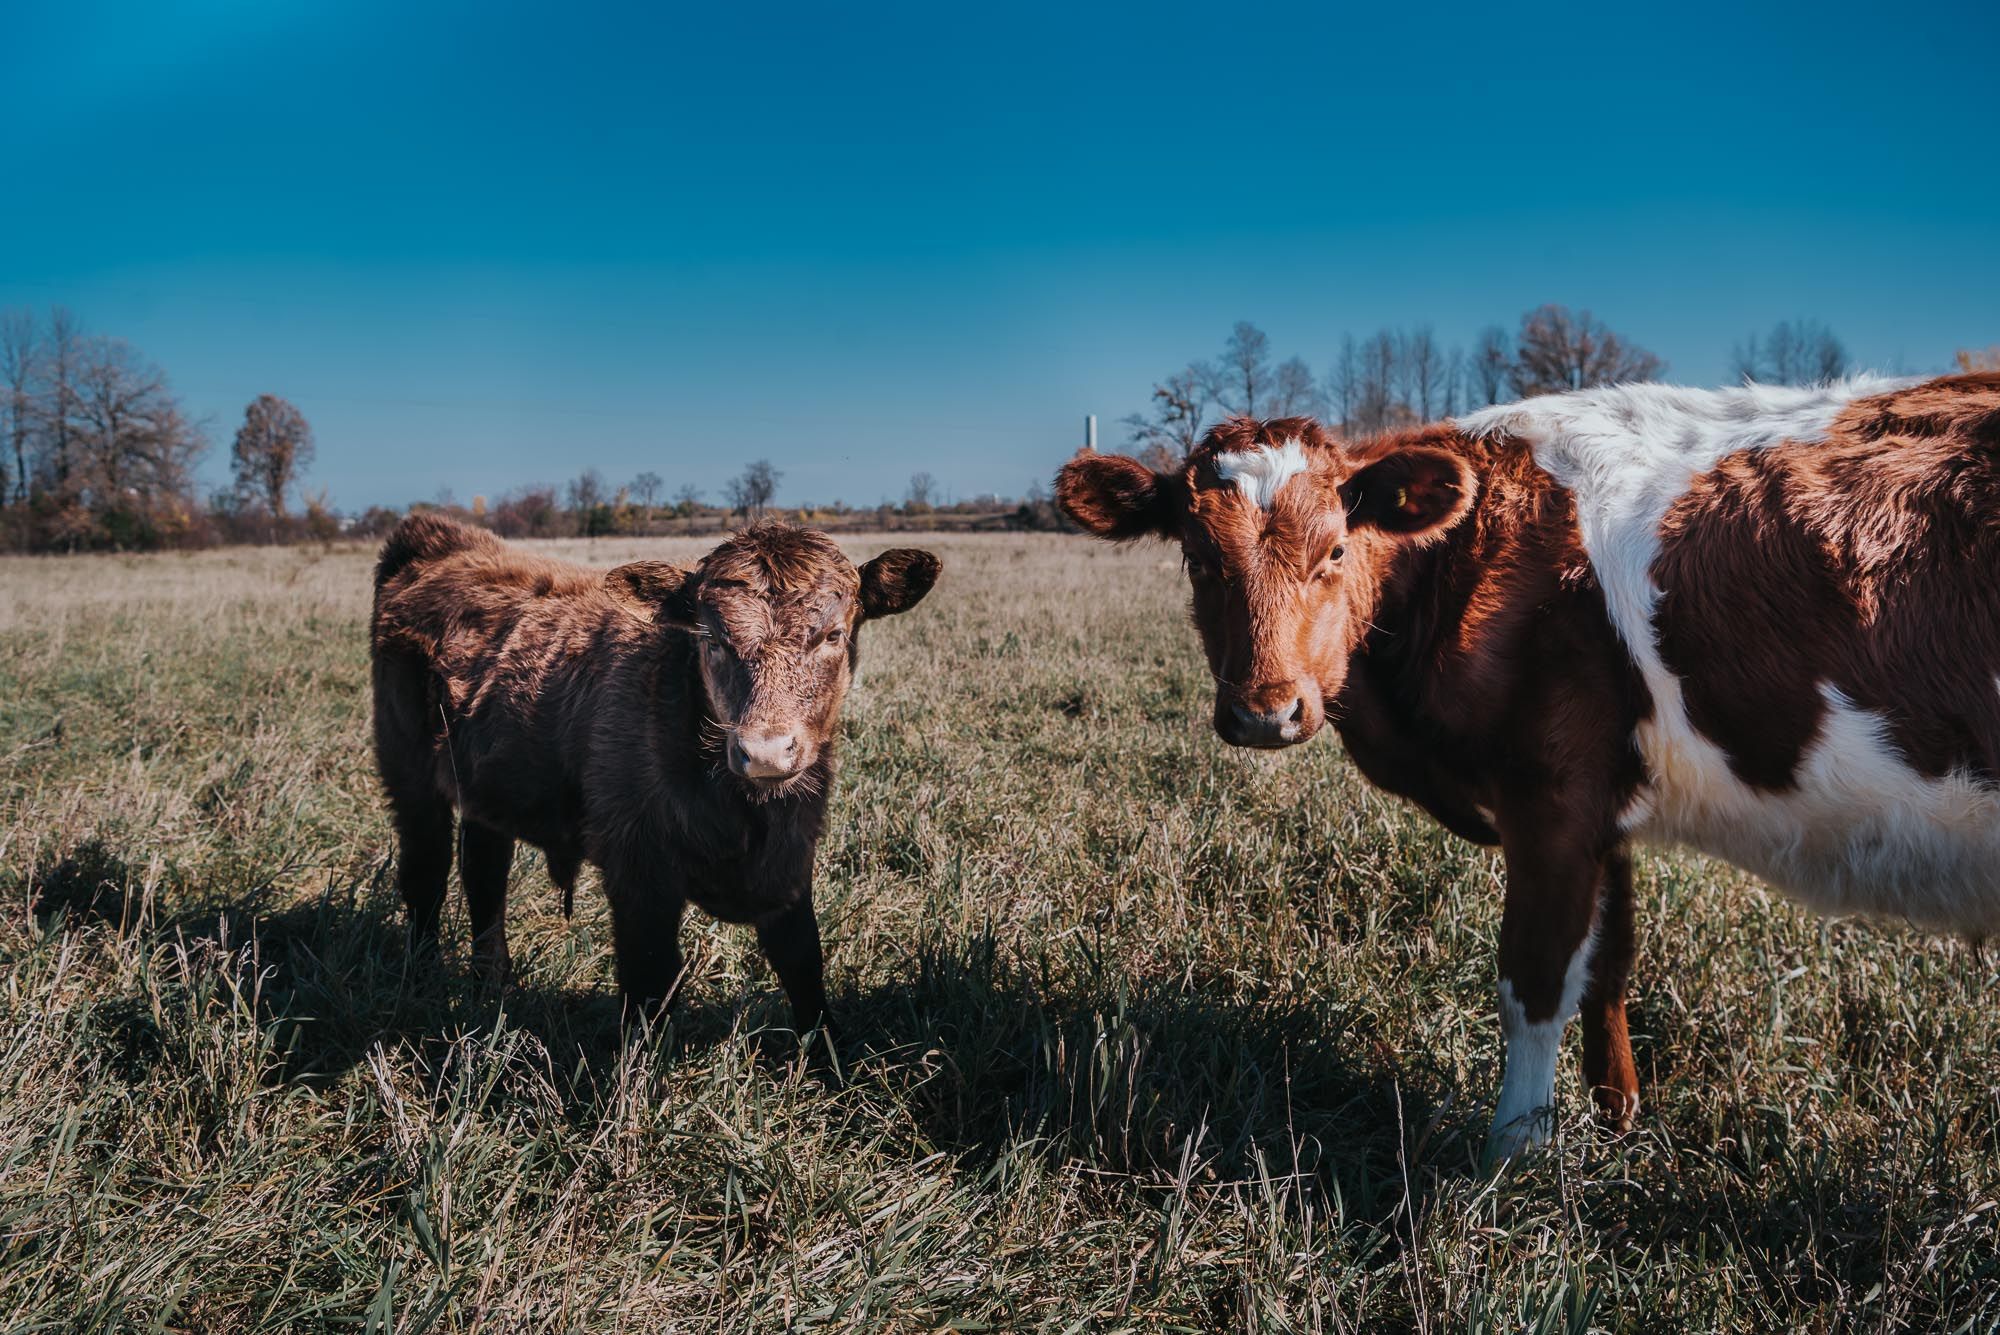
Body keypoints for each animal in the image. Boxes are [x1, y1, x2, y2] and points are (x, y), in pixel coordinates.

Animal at [369, 514, 940, 1035]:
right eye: (713, 638)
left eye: (832, 635)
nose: (765, 753)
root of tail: (435, 539)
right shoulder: (639, 872)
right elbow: (649, 983)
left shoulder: (790, 863)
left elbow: (804, 965)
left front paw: (828, 1064)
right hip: (408, 776)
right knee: (426, 874)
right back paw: (421, 982)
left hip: (487, 787)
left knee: (484, 874)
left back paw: (492, 985)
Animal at [1055, 372, 2000, 1160]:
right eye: (1198, 557)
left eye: (1335, 552)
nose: (1264, 711)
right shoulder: (1603, 807)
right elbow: (1610, 965)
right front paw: (1618, 1120)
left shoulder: (1549, 801)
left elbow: (1535, 980)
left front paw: (1514, 1153)